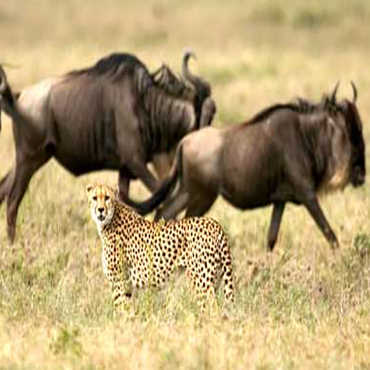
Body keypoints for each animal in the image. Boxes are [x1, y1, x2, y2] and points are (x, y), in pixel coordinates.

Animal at [86, 184, 234, 310]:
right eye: (94, 198)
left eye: (107, 198)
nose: (100, 210)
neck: (110, 218)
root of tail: (214, 223)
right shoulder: (126, 286)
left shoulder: (119, 282)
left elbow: (122, 310)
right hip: (215, 280)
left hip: (202, 282)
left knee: (212, 309)